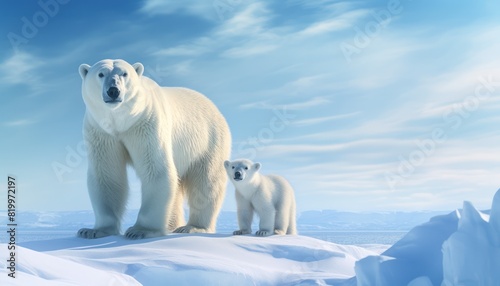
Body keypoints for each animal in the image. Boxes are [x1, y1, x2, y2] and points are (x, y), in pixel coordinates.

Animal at [77, 58, 231, 239]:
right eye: (101, 74)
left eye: (124, 73)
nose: (113, 91)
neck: (121, 122)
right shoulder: (101, 132)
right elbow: (107, 175)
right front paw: (93, 231)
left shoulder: (146, 124)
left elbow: (155, 169)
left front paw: (139, 231)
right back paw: (172, 225)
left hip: (208, 141)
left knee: (206, 182)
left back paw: (192, 227)